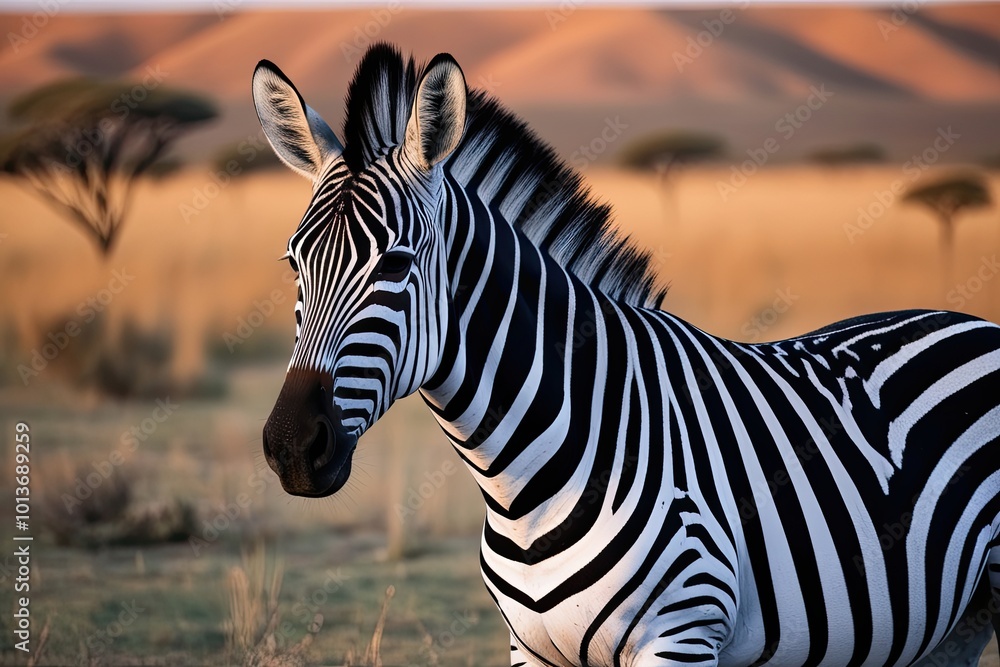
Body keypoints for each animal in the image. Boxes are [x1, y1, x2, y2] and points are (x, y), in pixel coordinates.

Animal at [252, 44, 1000, 666]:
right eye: (292, 264)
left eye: (396, 264)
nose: (291, 447)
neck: (527, 487)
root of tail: (975, 322)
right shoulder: (532, 649)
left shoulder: (681, 634)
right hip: (954, 621)